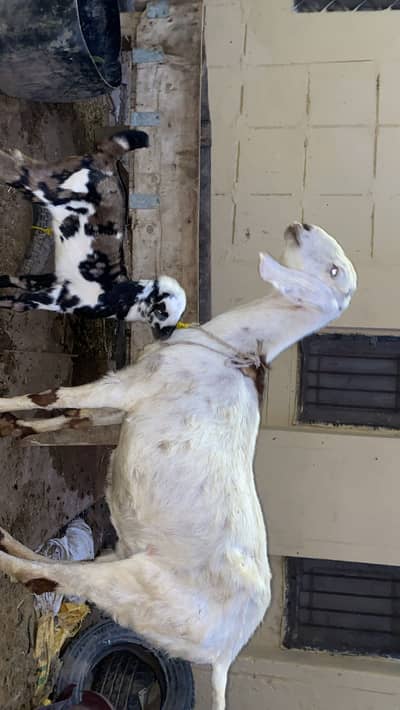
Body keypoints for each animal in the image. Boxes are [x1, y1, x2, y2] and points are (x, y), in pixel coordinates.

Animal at [0, 131, 186, 339]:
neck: (123, 296)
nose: (165, 336)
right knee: (16, 166)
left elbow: (13, 288)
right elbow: (14, 300)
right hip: (43, 185)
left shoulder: (47, 281)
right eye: (165, 312)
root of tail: (109, 159)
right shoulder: (57, 299)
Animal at [0, 223, 357, 710]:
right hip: (127, 561)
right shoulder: (122, 404)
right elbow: (69, 415)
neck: (227, 350)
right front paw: (17, 429)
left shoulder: (126, 388)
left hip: (136, 584)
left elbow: (51, 396)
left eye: (334, 270)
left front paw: (3, 410)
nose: (302, 226)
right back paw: (12, 541)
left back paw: (4, 551)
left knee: (43, 578)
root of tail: (224, 655)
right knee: (58, 574)